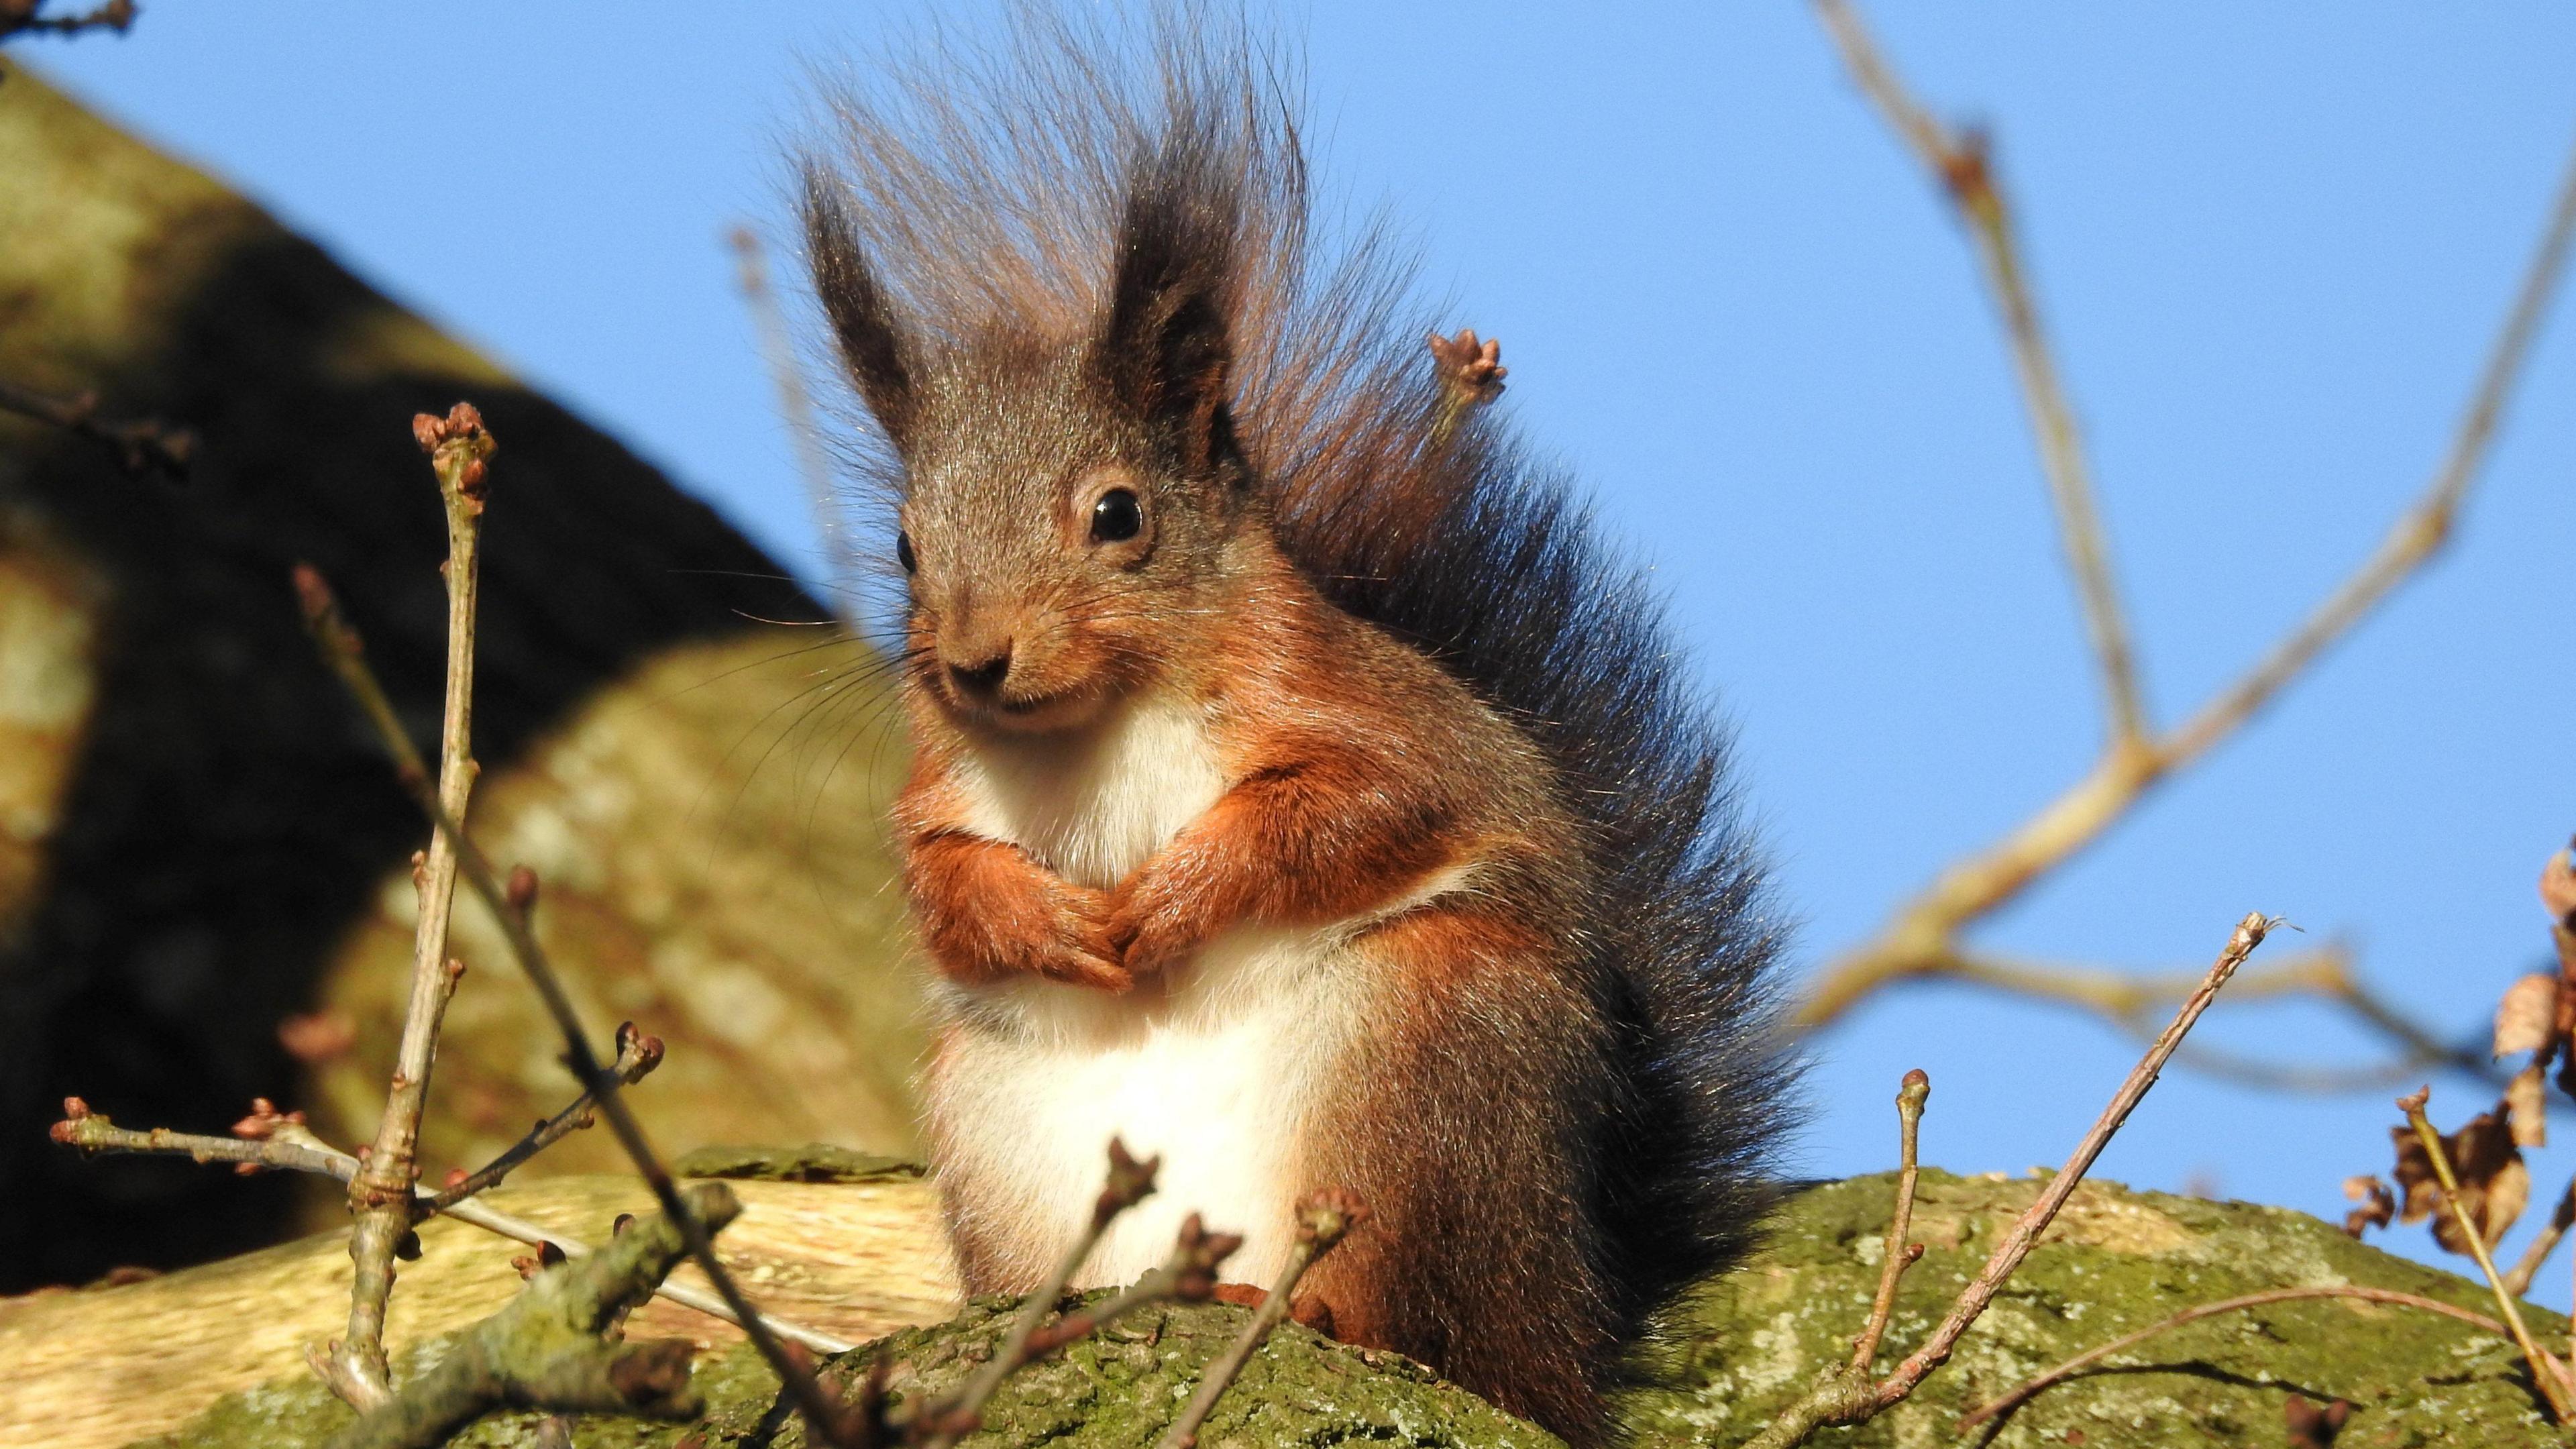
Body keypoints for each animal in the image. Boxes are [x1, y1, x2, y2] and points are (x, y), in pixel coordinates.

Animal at [798, 11, 1792, 1433]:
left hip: (1426, 1055)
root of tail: (1570, 1333)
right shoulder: (940, 782)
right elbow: (941, 882)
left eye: (1119, 515)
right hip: (991, 1117)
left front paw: (1176, 893)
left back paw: (1326, 1313)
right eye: (904, 547)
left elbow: (1366, 806)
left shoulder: (1367, 709)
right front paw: (1045, 919)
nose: (976, 662)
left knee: (1423, 1318)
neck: (1095, 724)